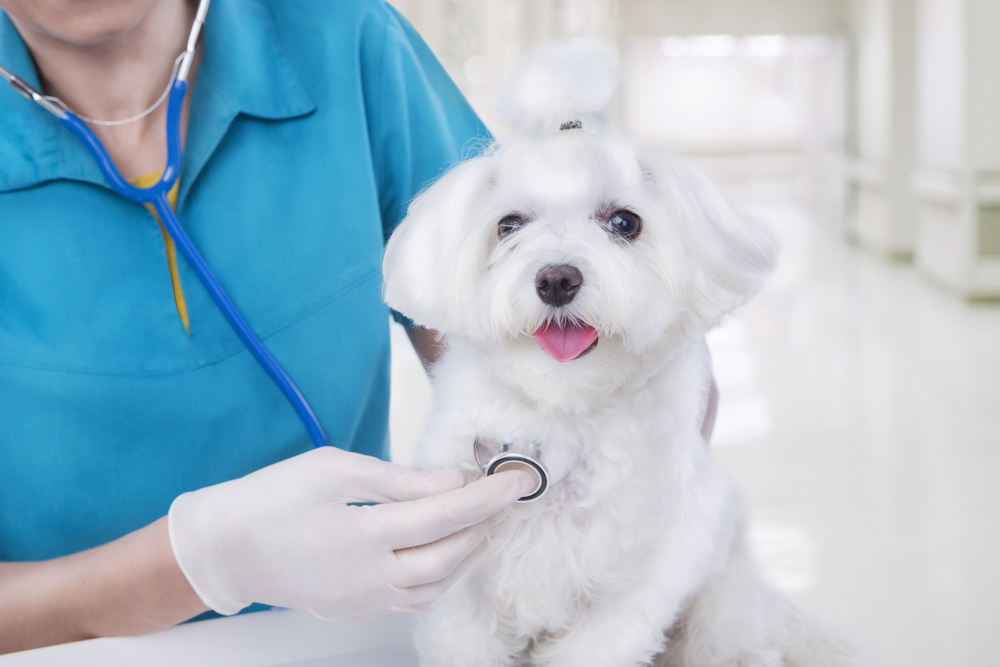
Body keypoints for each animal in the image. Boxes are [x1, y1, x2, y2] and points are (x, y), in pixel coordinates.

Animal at [378, 108, 856, 664]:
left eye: (624, 223)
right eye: (509, 225)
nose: (556, 279)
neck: (562, 413)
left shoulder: (644, 579)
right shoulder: (460, 589)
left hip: (720, 612)